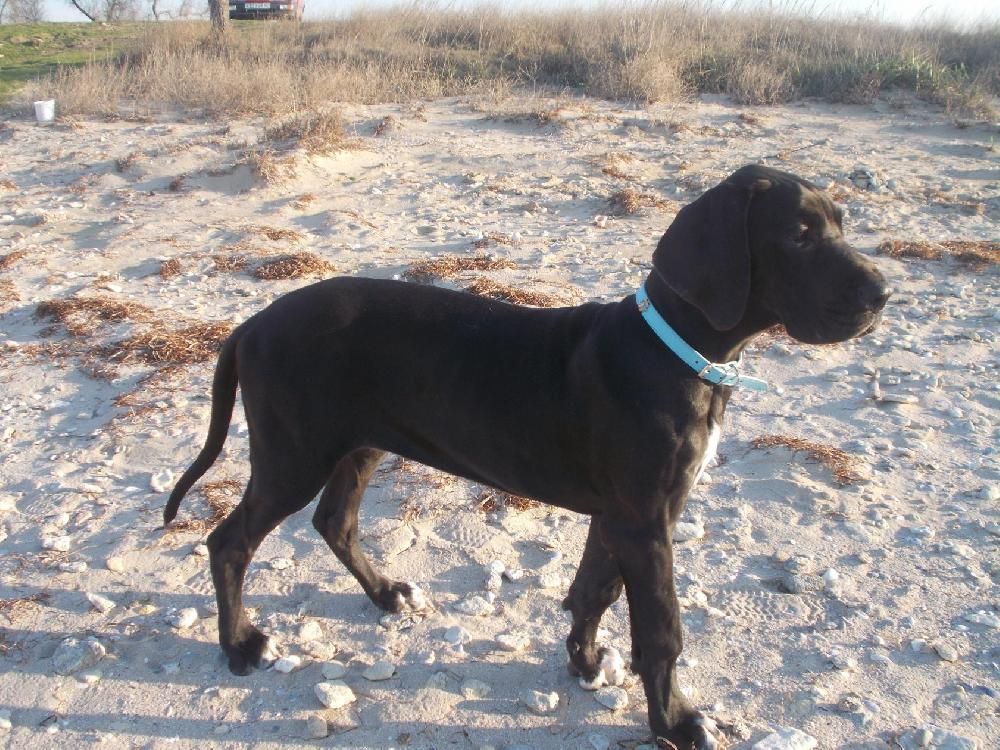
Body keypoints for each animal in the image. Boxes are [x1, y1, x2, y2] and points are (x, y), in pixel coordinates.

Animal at [165, 164, 889, 749]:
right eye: (798, 234)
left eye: (840, 224)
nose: (882, 294)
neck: (675, 351)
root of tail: (250, 325)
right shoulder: (646, 522)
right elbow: (661, 629)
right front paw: (676, 720)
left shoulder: (619, 517)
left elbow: (595, 589)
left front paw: (586, 663)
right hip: (294, 454)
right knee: (230, 541)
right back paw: (238, 645)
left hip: (359, 443)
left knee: (334, 522)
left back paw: (387, 593)